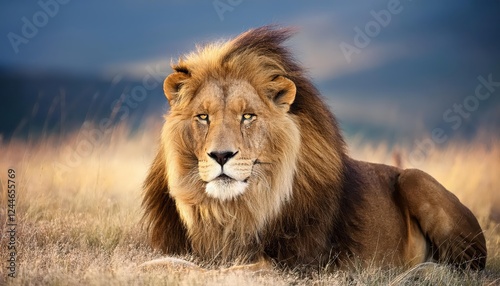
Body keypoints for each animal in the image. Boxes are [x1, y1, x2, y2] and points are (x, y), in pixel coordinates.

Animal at [143, 25, 486, 272]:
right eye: (203, 117)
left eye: (248, 116)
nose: (221, 155)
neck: (230, 211)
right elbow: (174, 262)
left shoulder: (294, 265)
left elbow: (221, 270)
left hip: (416, 179)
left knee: (468, 267)